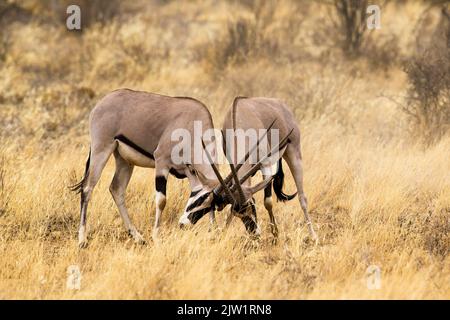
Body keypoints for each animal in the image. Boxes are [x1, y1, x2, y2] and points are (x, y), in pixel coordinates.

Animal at [69, 87, 222, 248]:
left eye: (209, 205)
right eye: (199, 200)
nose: (183, 224)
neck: (192, 125)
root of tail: (103, 101)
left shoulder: (190, 172)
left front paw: (214, 232)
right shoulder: (162, 162)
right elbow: (161, 201)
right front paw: (157, 237)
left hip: (124, 161)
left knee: (116, 189)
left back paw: (137, 237)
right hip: (101, 150)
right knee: (87, 188)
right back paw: (82, 240)